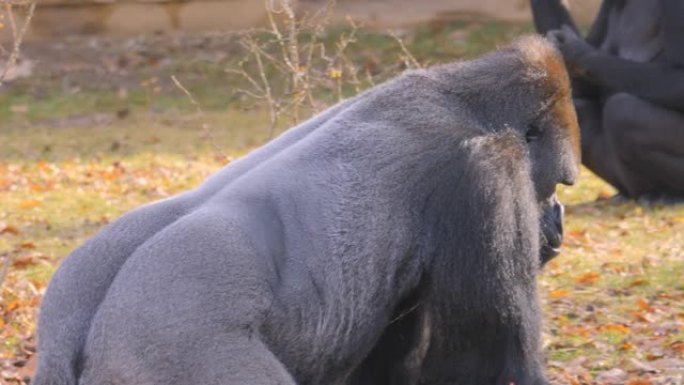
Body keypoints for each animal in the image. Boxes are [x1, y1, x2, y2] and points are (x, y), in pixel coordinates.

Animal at [33, 36, 576, 384]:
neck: (464, 100)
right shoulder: (488, 167)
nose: (557, 220)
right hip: (181, 349)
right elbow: (483, 358)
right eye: (555, 182)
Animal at [532, 0, 684, 198]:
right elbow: (579, 85)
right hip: (623, 179)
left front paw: (577, 51)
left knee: (622, 112)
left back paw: (672, 194)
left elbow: (678, 80)